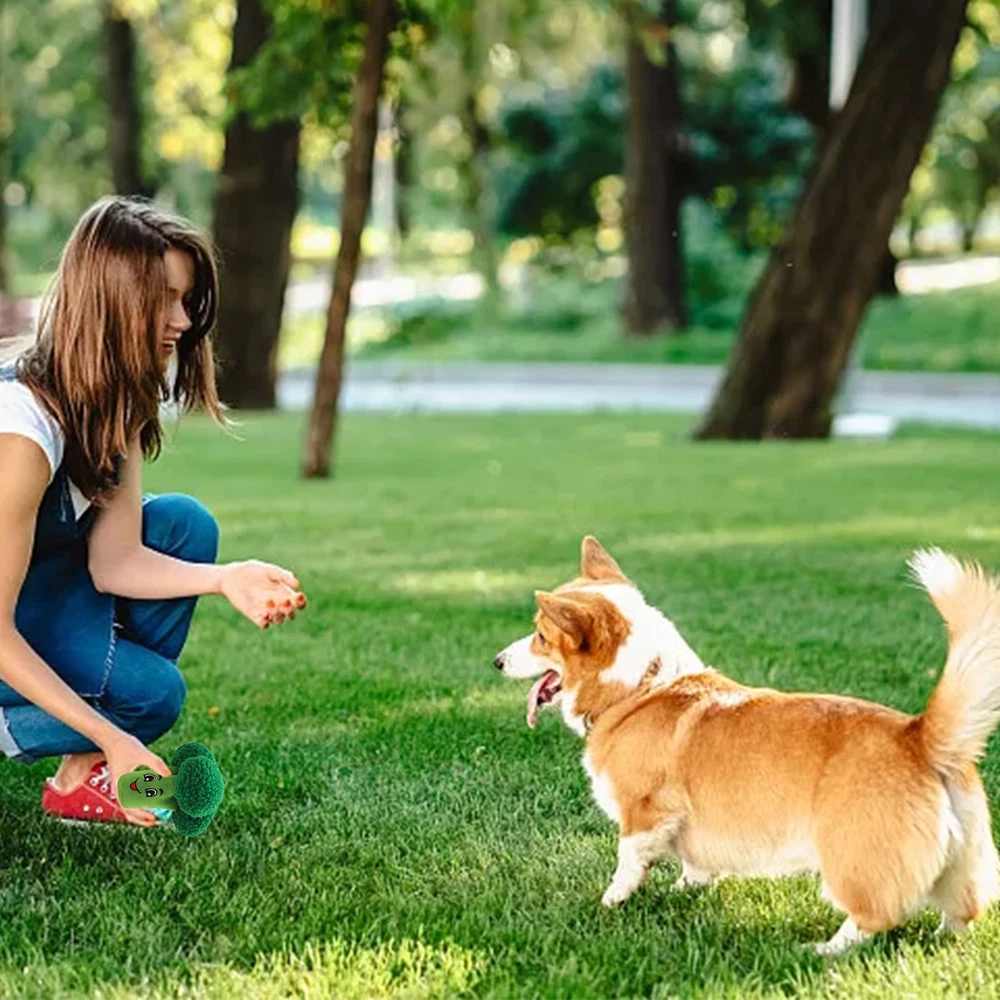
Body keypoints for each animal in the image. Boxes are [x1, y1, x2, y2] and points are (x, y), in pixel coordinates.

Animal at [493, 536, 1000, 955]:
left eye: (540, 636)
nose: (496, 661)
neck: (639, 686)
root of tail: (919, 735)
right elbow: (694, 864)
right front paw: (684, 890)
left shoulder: (645, 812)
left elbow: (629, 860)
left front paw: (611, 901)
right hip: (962, 859)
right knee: (963, 910)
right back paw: (940, 939)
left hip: (852, 861)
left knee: (874, 917)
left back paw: (823, 950)